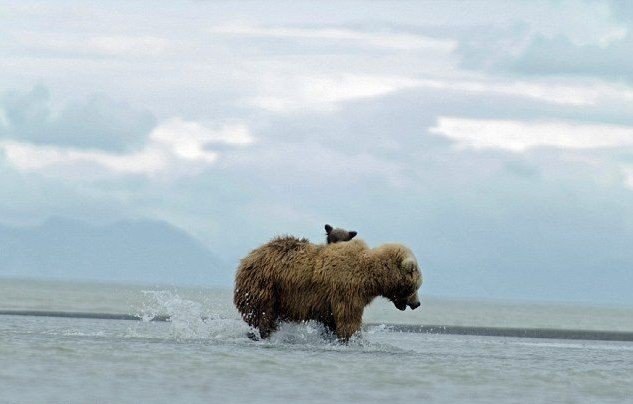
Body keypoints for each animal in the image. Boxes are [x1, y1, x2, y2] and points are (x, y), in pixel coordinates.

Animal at [232, 237, 420, 340]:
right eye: (416, 286)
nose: (417, 303)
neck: (370, 278)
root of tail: (247, 258)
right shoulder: (347, 291)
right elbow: (348, 320)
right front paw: (353, 338)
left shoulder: (329, 301)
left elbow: (331, 321)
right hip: (265, 285)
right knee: (261, 314)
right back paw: (262, 333)